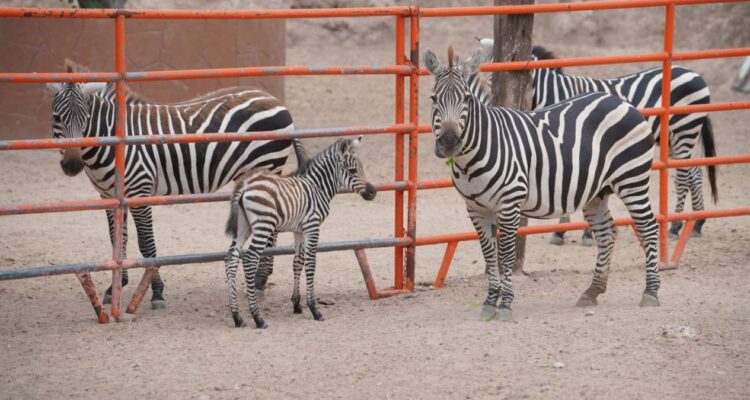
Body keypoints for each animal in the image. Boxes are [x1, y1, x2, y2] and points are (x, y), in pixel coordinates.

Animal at [46, 59, 298, 310]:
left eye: (86, 118)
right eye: (57, 118)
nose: (72, 165)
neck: (115, 140)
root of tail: (272, 98)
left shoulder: (140, 191)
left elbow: (146, 243)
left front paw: (156, 291)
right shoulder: (109, 197)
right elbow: (118, 239)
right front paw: (116, 286)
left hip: (268, 164)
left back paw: (260, 281)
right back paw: (260, 279)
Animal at [223, 136, 377, 329]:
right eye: (353, 170)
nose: (373, 192)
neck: (318, 188)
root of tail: (245, 184)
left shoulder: (299, 230)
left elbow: (298, 262)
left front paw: (296, 304)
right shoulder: (313, 226)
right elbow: (311, 263)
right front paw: (314, 309)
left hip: (244, 227)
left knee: (231, 258)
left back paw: (237, 316)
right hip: (263, 225)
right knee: (250, 259)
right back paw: (258, 318)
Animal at [425, 47, 661, 321]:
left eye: (467, 99)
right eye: (433, 99)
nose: (449, 142)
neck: (473, 158)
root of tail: (622, 102)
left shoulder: (509, 203)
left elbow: (506, 254)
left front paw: (505, 305)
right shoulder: (476, 208)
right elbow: (489, 254)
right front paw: (489, 302)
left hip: (632, 179)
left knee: (649, 227)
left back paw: (651, 293)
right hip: (597, 192)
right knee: (607, 232)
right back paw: (592, 291)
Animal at [467, 41, 718, 245]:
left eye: (492, 70)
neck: (552, 93)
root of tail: (693, 73)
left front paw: (568, 232)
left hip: (683, 130)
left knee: (684, 175)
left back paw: (676, 226)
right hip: (675, 137)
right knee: (694, 171)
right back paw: (696, 222)